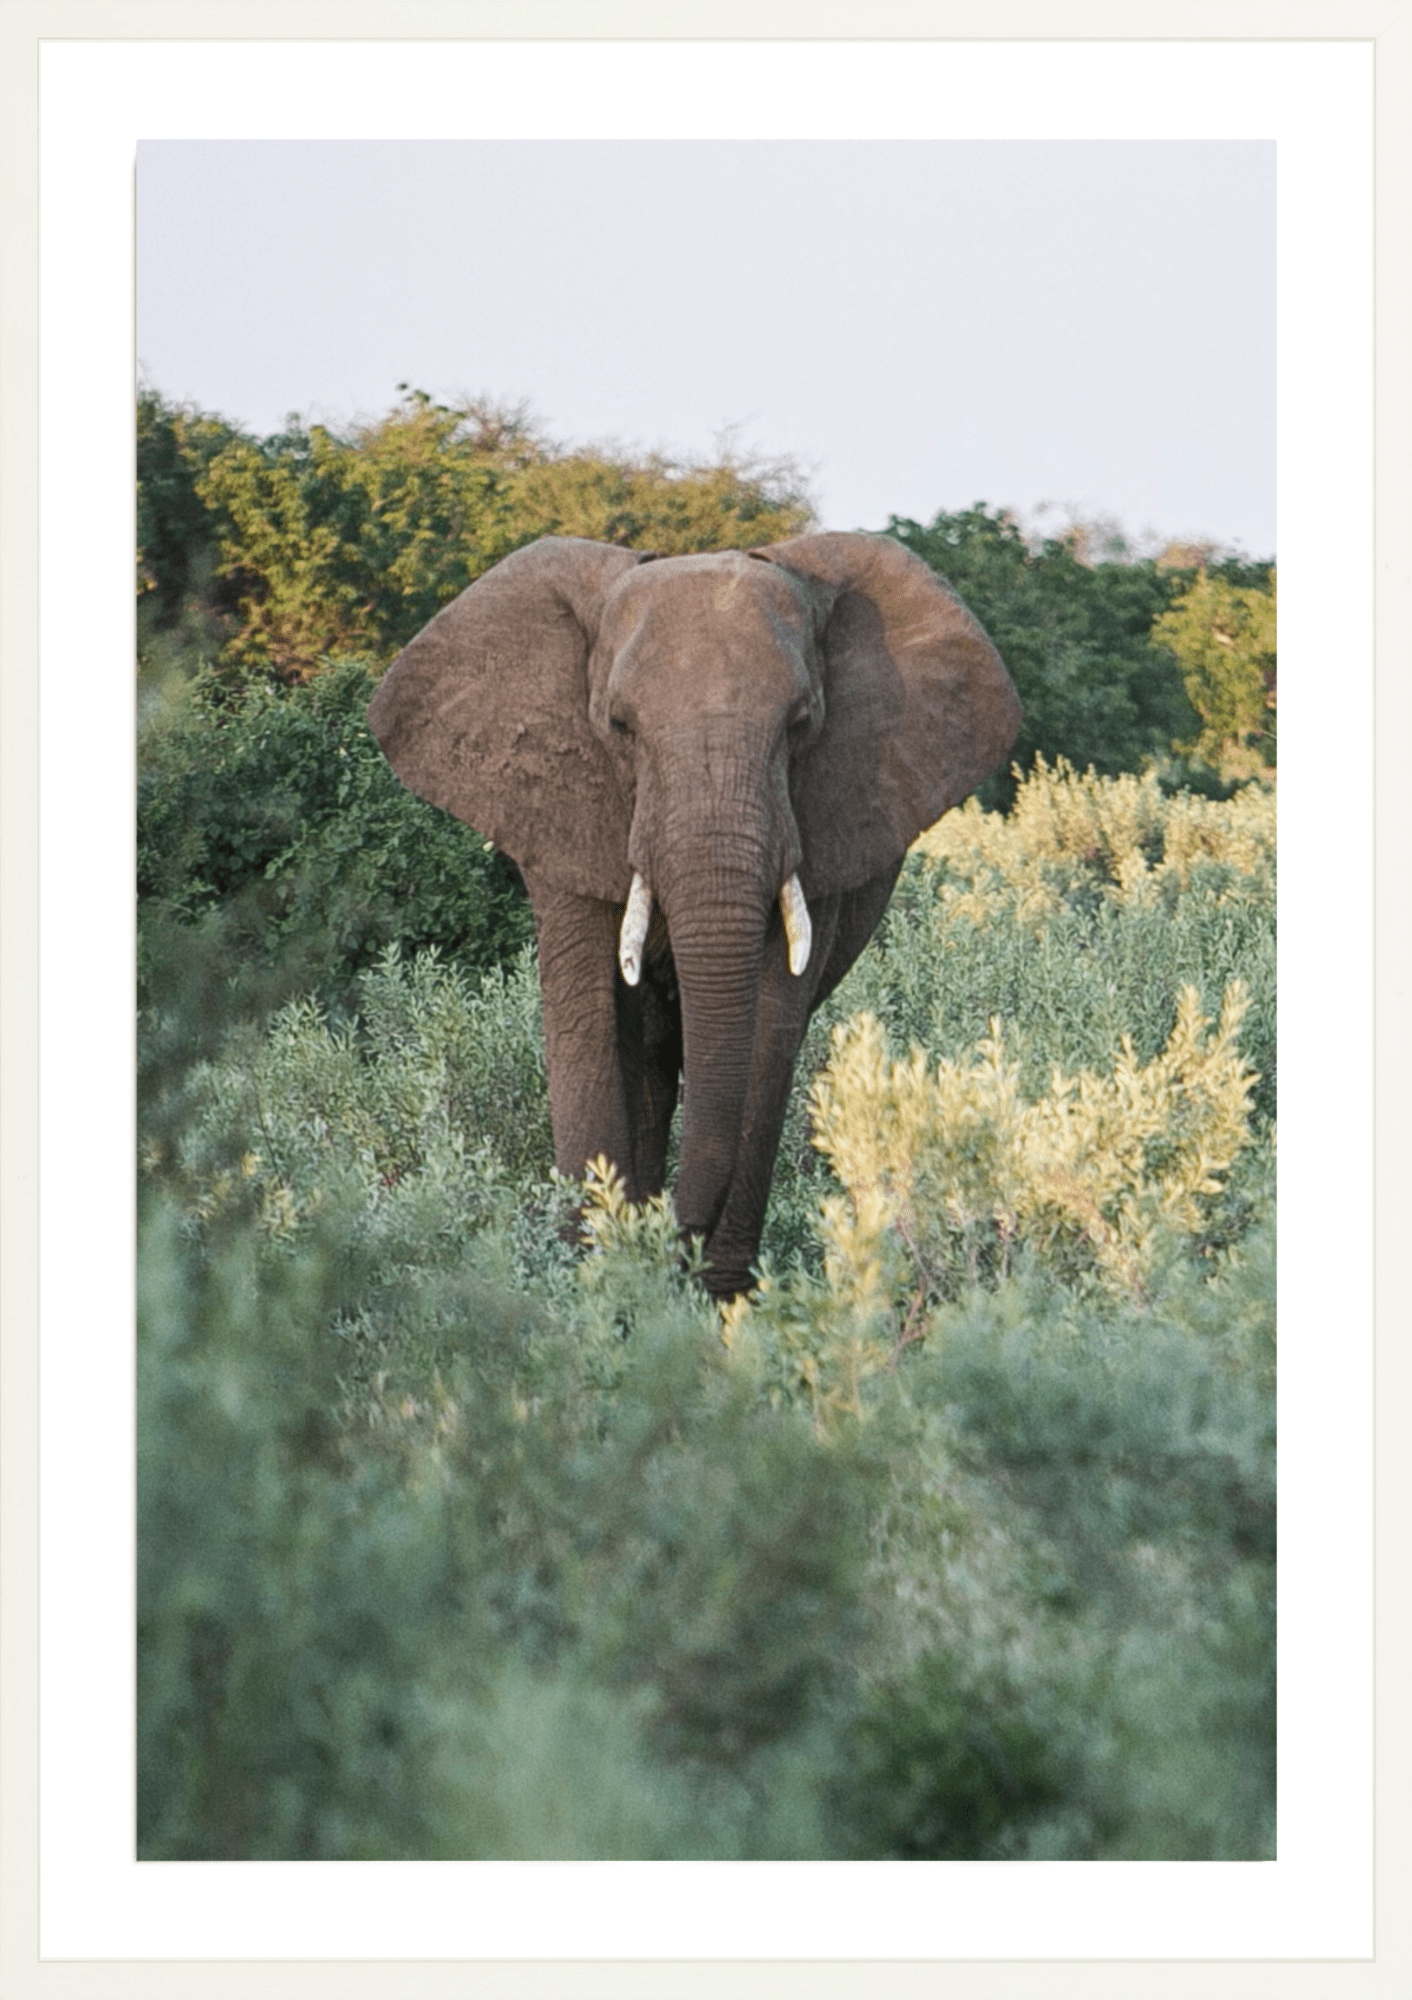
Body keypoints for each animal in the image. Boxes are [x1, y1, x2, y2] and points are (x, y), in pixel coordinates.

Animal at [368, 531, 1021, 1300]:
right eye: (618, 727)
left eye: (802, 724)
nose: (670, 1242)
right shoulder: (559, 809)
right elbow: (588, 1023)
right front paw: (593, 1283)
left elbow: (768, 1031)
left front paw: (716, 1298)